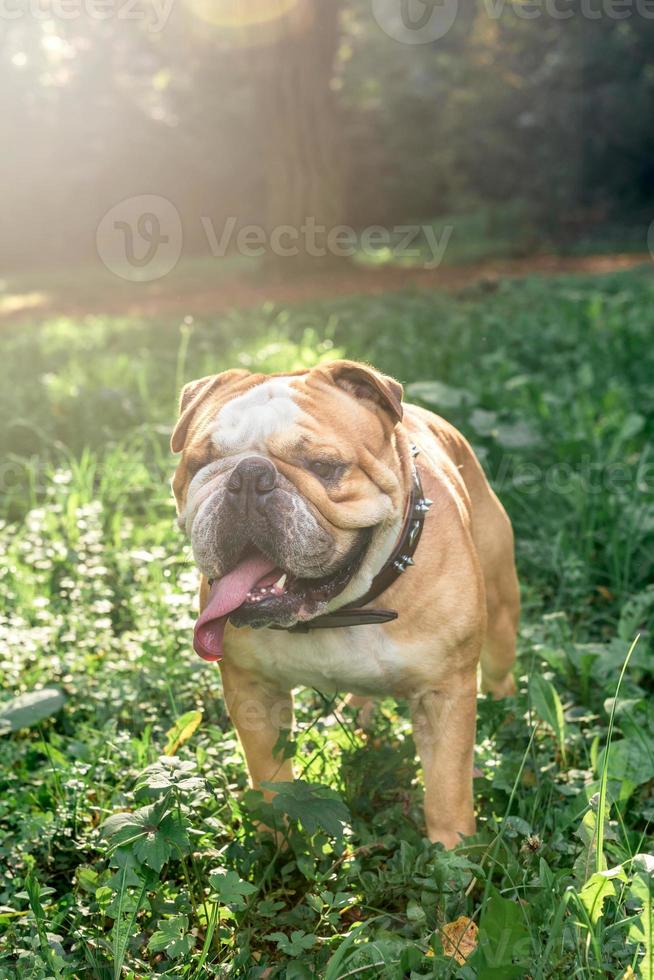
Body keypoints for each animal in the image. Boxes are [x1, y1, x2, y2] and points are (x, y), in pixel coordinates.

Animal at [172, 362, 520, 848]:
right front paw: (277, 844)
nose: (249, 476)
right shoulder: (253, 692)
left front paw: (453, 854)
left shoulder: (444, 695)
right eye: (200, 463)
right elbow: (270, 780)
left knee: (501, 673)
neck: (339, 609)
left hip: (502, 611)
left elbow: (447, 791)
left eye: (323, 466)